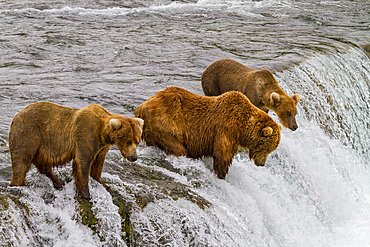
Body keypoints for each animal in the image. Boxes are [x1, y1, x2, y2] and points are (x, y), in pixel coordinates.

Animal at [8, 101, 145, 200]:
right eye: (128, 141)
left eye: (137, 141)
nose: (134, 157)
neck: (103, 134)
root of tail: (16, 116)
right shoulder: (87, 134)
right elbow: (83, 162)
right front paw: (86, 194)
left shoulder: (102, 147)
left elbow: (97, 165)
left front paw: (105, 186)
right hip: (28, 133)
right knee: (21, 160)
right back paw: (20, 185)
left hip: (41, 145)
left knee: (43, 164)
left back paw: (58, 182)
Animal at [134, 86, 282, 178]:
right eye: (266, 148)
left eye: (271, 149)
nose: (262, 163)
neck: (243, 126)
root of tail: (142, 106)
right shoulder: (226, 128)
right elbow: (222, 153)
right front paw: (221, 174)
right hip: (167, 124)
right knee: (178, 148)